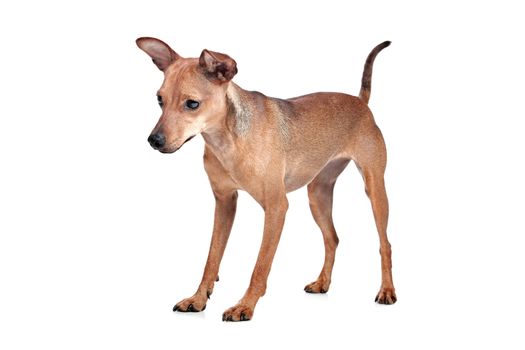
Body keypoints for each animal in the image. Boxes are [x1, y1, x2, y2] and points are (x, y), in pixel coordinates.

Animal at [137, 37, 396, 320]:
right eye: (159, 100)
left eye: (192, 104)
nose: (153, 140)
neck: (228, 140)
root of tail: (361, 102)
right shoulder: (224, 203)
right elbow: (212, 259)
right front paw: (197, 298)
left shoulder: (276, 207)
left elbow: (260, 265)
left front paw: (245, 305)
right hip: (318, 195)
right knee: (332, 238)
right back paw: (322, 283)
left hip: (375, 190)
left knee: (385, 244)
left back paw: (386, 291)